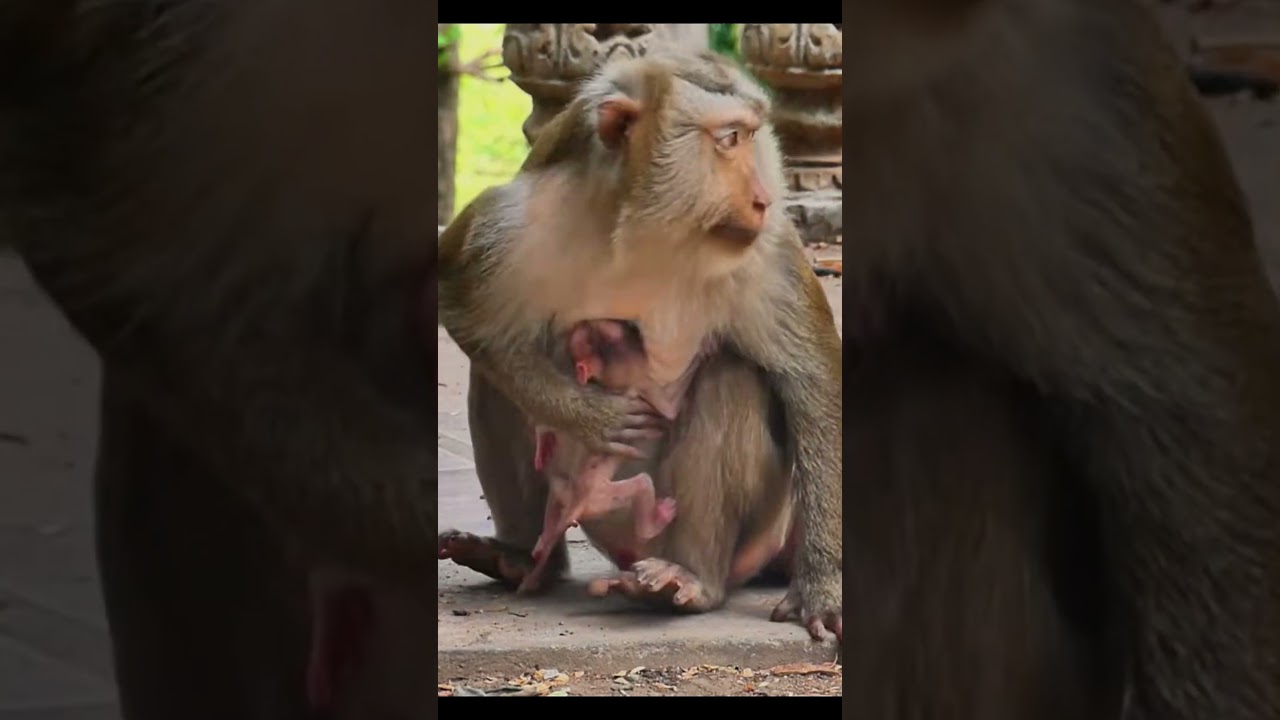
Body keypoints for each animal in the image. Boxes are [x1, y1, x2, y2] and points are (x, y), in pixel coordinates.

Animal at [522, 319, 683, 595]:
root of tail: (578, 502)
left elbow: (558, 421)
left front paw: (543, 441)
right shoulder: (642, 382)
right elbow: (669, 408)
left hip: (566, 490)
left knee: (555, 493)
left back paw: (544, 539)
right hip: (603, 498)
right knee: (642, 485)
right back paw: (654, 522)